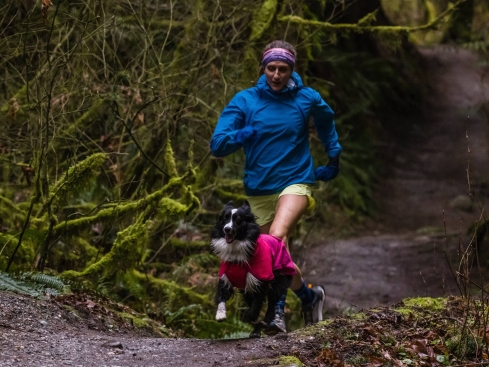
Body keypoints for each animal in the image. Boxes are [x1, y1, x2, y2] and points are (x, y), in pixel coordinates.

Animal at [209, 201, 294, 340]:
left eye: (238, 220)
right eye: (225, 218)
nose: (227, 229)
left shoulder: (260, 279)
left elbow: (256, 306)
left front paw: (250, 317)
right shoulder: (226, 277)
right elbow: (222, 295)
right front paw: (220, 314)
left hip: (279, 280)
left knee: (272, 302)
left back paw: (265, 322)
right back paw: (256, 330)